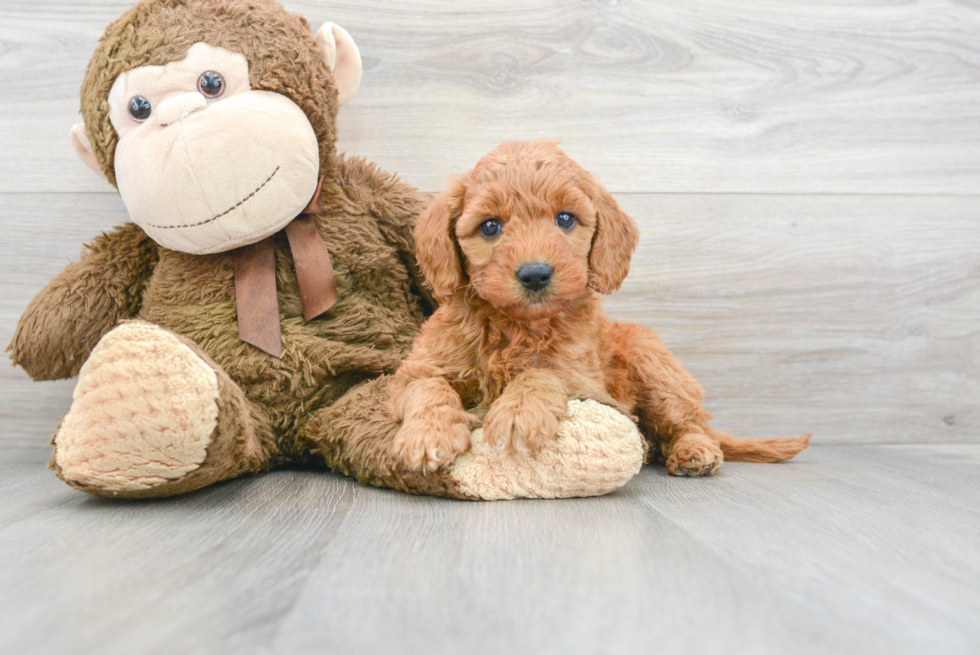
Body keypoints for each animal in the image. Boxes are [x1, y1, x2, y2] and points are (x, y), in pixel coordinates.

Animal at [390, 141, 812, 474]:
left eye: (564, 219)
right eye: (490, 226)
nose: (535, 274)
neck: (518, 326)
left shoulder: (585, 380)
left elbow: (543, 372)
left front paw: (518, 413)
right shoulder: (413, 371)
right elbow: (428, 386)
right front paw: (428, 433)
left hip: (651, 360)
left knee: (691, 422)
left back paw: (695, 452)